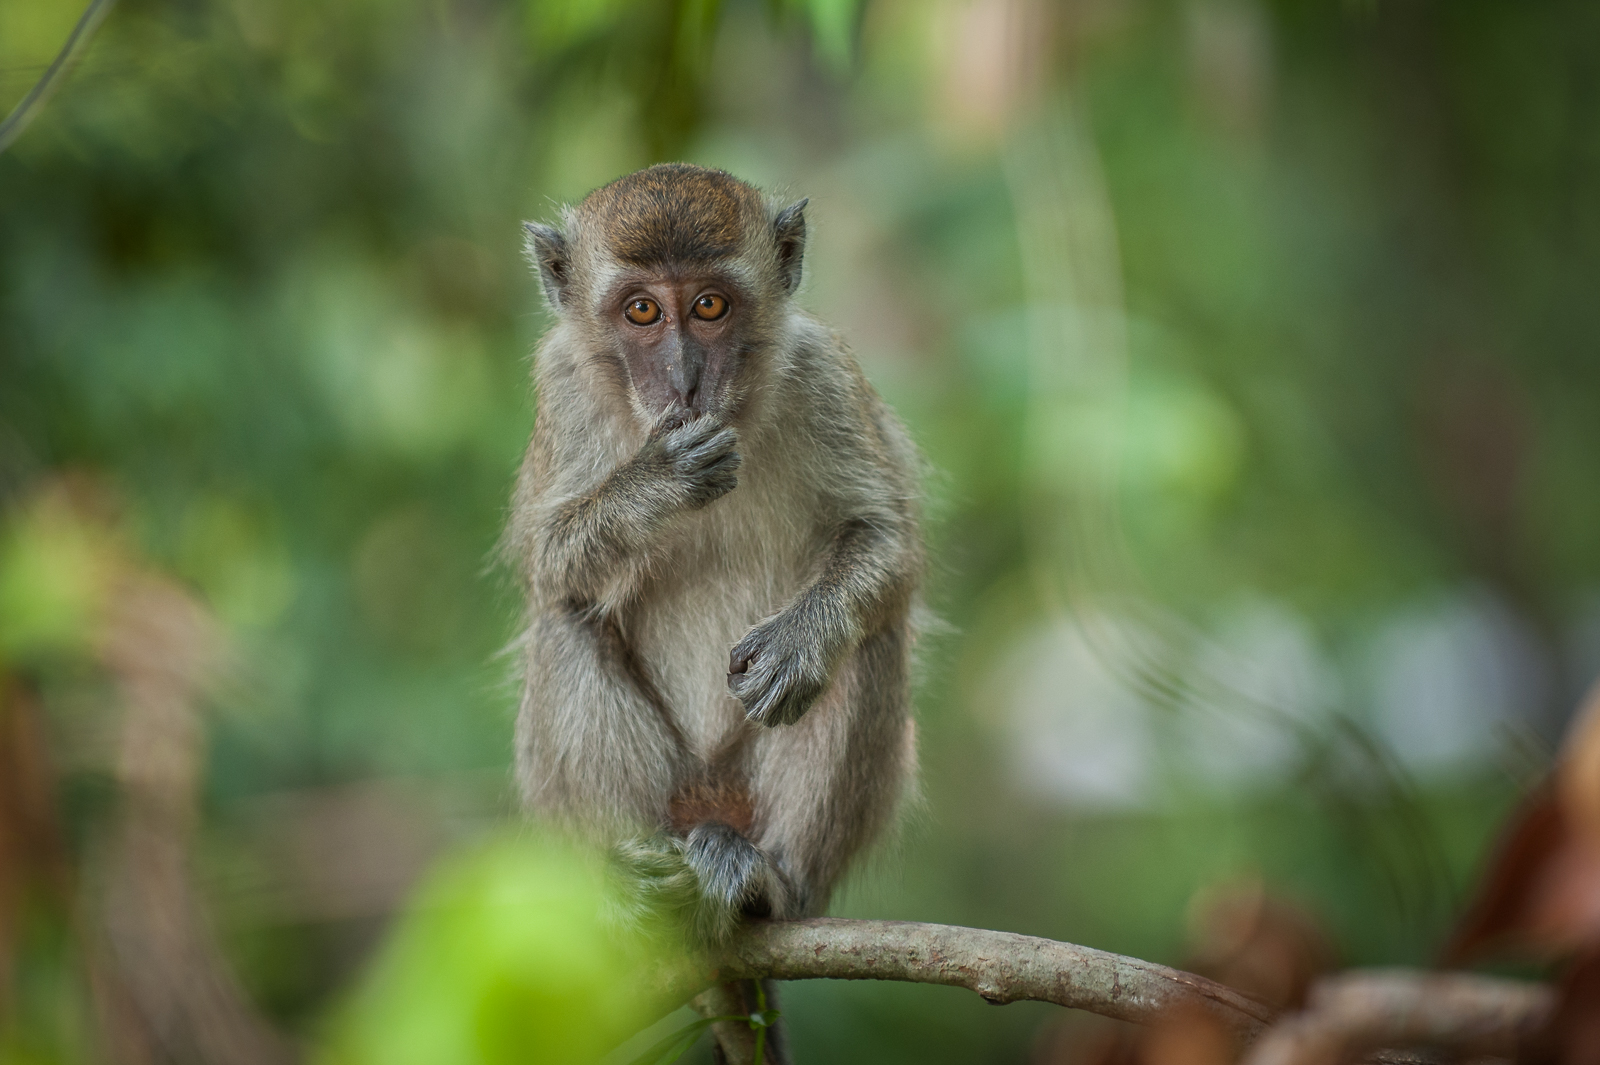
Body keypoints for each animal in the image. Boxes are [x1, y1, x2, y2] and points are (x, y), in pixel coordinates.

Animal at [499, 163, 928, 972]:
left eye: (709, 306)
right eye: (641, 310)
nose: (684, 381)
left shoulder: (822, 374)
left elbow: (889, 542)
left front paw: (801, 641)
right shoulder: (560, 390)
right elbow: (549, 565)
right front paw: (653, 484)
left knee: (869, 643)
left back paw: (767, 881)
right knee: (567, 621)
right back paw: (628, 887)